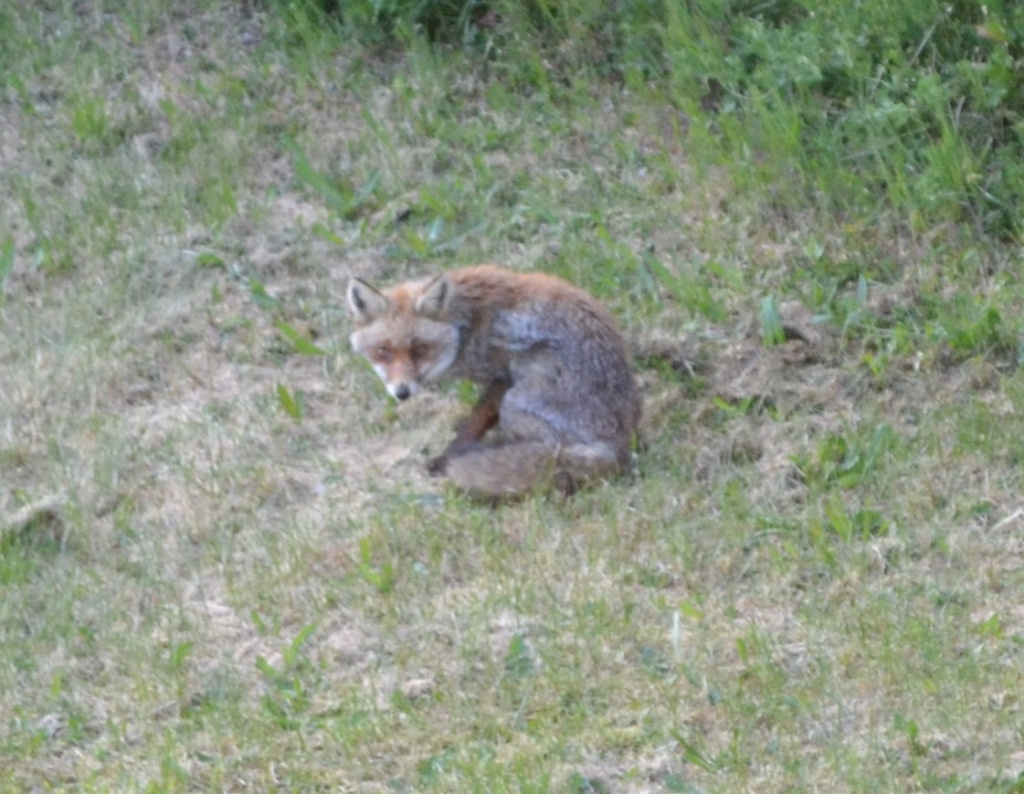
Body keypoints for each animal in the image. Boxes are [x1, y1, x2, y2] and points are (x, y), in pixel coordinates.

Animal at [352, 266, 638, 499]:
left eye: (420, 349)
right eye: (383, 352)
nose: (402, 393)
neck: (465, 324)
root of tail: (615, 447)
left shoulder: (502, 376)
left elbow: (474, 423)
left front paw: (448, 457)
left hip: (517, 400)